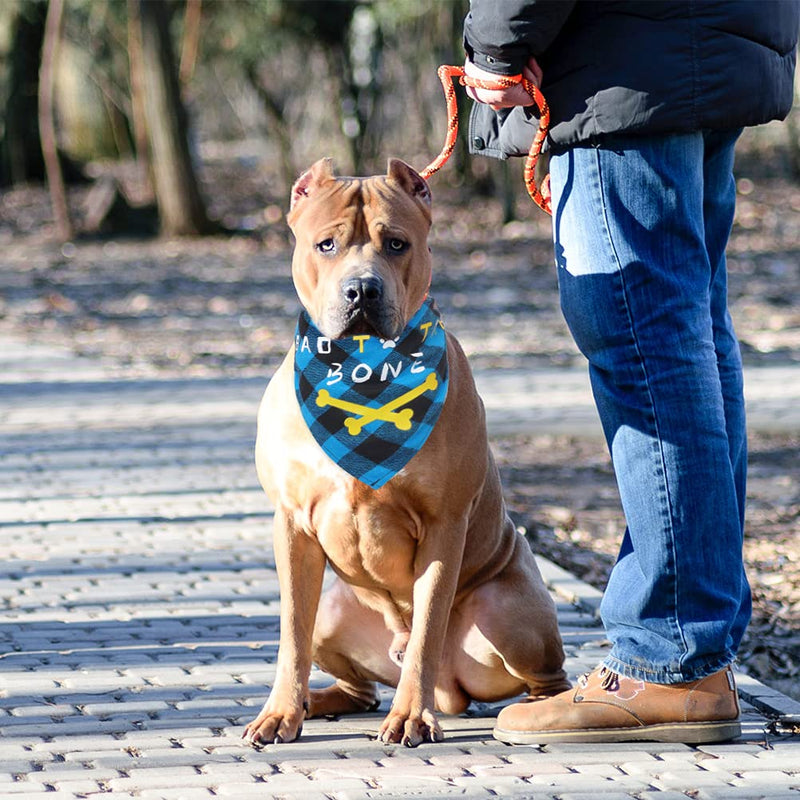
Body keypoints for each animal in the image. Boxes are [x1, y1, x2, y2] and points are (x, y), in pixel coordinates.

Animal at [242, 159, 568, 748]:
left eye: (396, 244)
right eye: (326, 244)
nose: (361, 289)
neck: (363, 371)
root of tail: (453, 693)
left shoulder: (444, 524)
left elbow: (427, 629)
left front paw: (412, 717)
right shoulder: (292, 524)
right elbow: (291, 634)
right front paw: (280, 712)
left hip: (504, 609)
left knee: (541, 676)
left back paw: (536, 709)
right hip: (333, 610)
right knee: (359, 686)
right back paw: (315, 701)